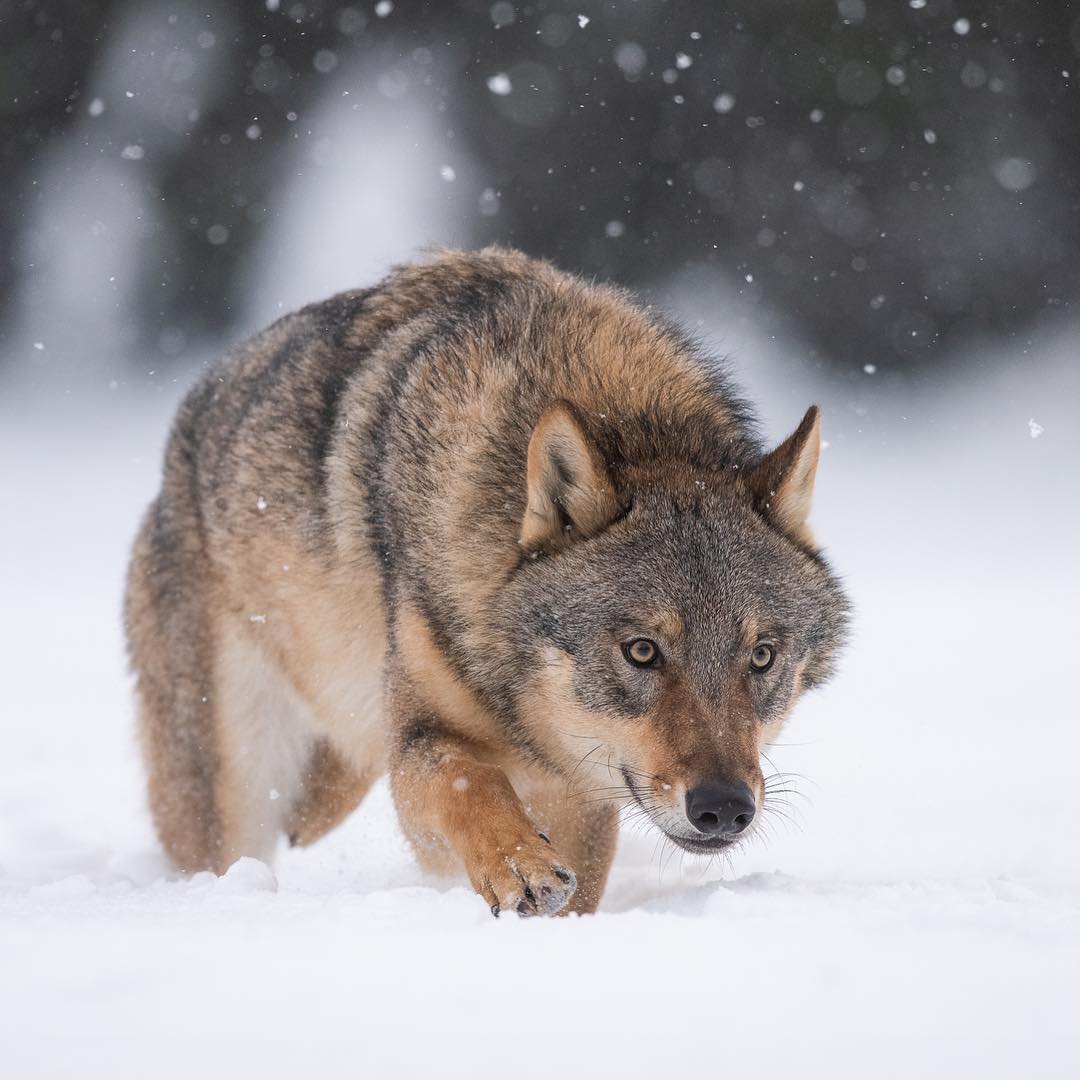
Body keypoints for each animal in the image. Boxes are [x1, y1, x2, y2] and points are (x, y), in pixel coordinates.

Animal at [124, 248, 851, 915]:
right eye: (642, 651)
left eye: (762, 657)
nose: (725, 808)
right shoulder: (418, 750)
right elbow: (470, 781)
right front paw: (517, 864)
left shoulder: (580, 794)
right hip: (232, 786)